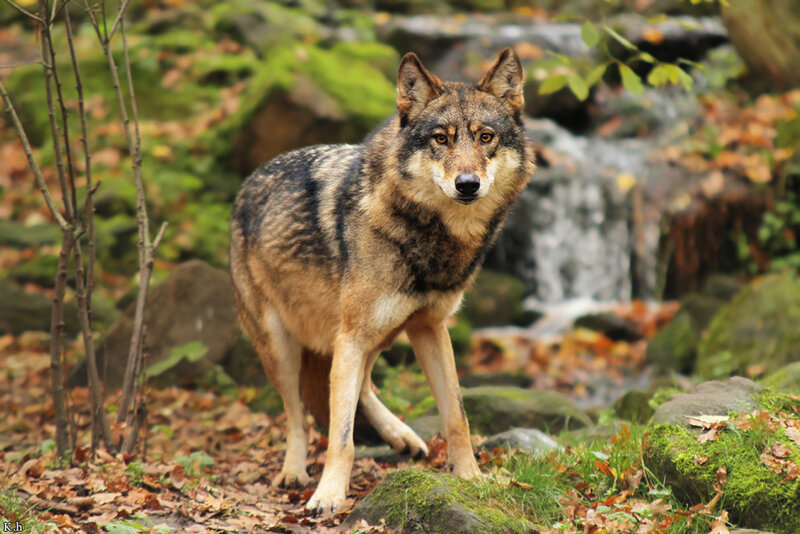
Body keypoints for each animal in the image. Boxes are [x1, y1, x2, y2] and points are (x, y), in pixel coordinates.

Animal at [230, 48, 534, 514]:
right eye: (441, 139)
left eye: (485, 138)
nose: (467, 184)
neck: (428, 234)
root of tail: (246, 185)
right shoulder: (352, 335)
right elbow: (341, 438)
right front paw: (328, 496)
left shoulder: (429, 328)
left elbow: (457, 416)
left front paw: (471, 477)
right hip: (282, 344)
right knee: (298, 413)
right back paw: (294, 471)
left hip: (381, 334)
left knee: (360, 386)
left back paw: (401, 435)